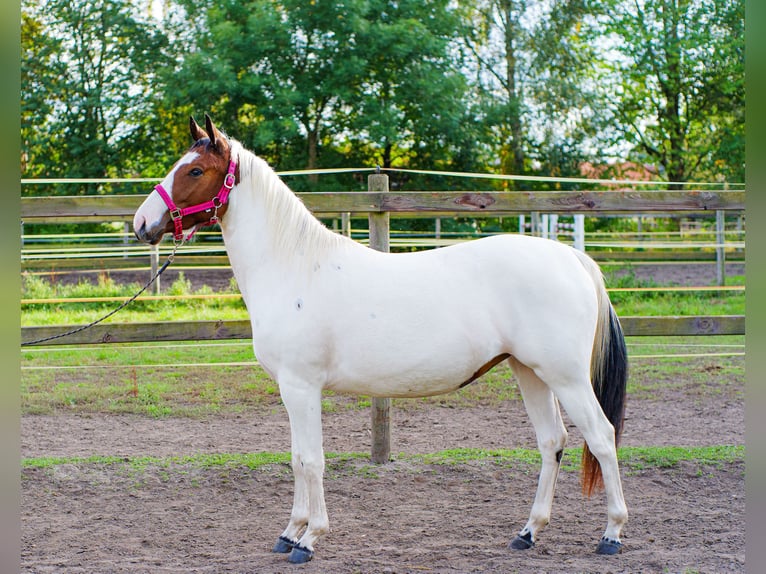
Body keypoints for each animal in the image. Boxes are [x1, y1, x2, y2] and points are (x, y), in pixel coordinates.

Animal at [133, 115, 629, 564]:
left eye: (195, 170)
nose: (141, 222)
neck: (294, 266)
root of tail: (571, 258)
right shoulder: (291, 390)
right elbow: (296, 458)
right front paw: (289, 532)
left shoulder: (301, 387)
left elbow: (311, 459)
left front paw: (309, 540)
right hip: (530, 371)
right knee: (552, 441)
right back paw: (528, 532)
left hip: (565, 377)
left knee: (602, 437)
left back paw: (611, 534)